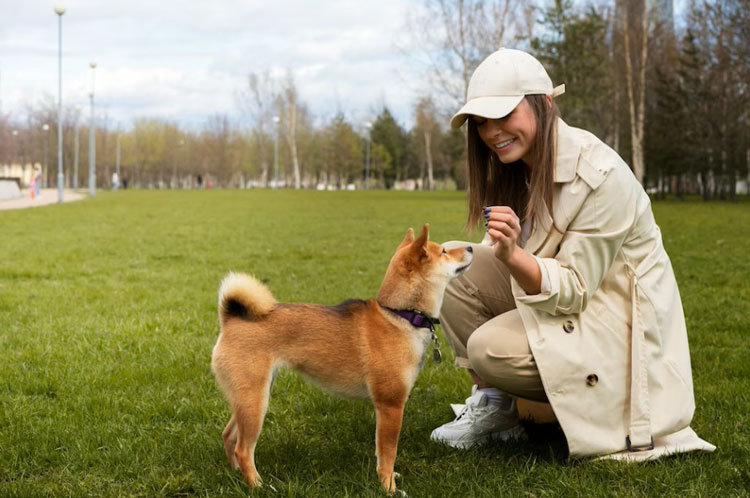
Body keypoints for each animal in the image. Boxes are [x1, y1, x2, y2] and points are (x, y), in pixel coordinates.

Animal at [209, 225, 472, 494]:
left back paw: (237, 475)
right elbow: (388, 453)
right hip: (255, 401)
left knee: (228, 436)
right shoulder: (391, 406)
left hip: (250, 397)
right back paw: (258, 486)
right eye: (443, 251)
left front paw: (389, 478)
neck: (399, 315)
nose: (471, 247)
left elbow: (381, 454)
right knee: (243, 449)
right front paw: (388, 487)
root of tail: (230, 319)